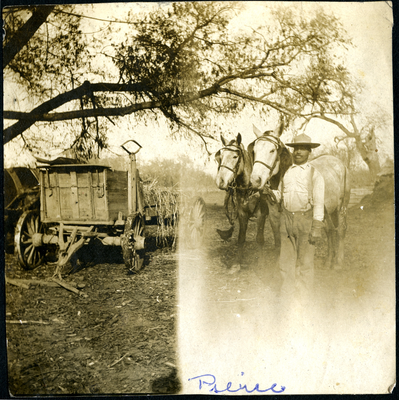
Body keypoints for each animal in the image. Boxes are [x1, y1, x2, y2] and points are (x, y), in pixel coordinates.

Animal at [216, 133, 282, 270]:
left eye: (235, 156)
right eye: (221, 156)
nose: (220, 181)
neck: (249, 188)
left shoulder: (261, 215)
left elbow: (259, 239)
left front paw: (261, 264)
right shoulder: (242, 213)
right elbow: (241, 238)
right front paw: (236, 264)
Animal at [252, 126, 352, 268]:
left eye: (272, 150)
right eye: (254, 151)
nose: (255, 180)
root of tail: (340, 164)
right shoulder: (274, 218)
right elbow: (278, 243)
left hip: (341, 207)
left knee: (340, 230)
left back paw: (338, 262)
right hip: (328, 211)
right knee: (330, 230)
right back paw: (328, 261)